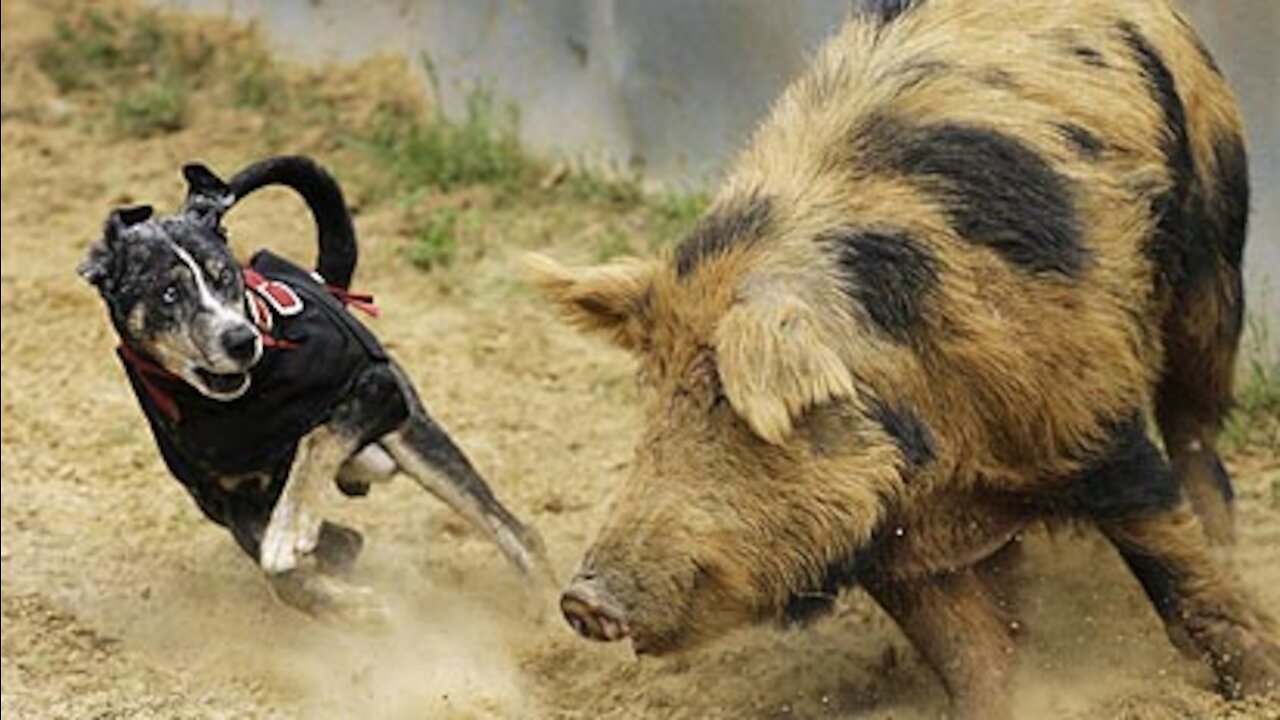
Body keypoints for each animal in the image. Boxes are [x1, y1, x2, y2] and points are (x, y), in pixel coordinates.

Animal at [528, 0, 1278, 717]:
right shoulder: (904, 547)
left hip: (1214, 253)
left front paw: (1259, 683)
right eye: (651, 386)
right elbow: (970, 653)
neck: (948, 461)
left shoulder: (1091, 423)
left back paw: (1227, 543)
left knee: (1195, 429)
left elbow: (1178, 572)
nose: (580, 600)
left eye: (725, 399)